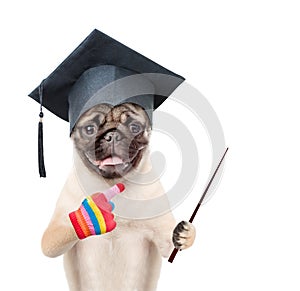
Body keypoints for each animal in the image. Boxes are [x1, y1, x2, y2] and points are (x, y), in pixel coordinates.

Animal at [41, 103, 197, 291]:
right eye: (90, 129)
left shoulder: (162, 238)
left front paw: (186, 234)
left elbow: (170, 245)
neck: (112, 184)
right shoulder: (54, 233)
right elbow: (53, 241)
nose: (113, 135)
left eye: (134, 127)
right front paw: (91, 214)